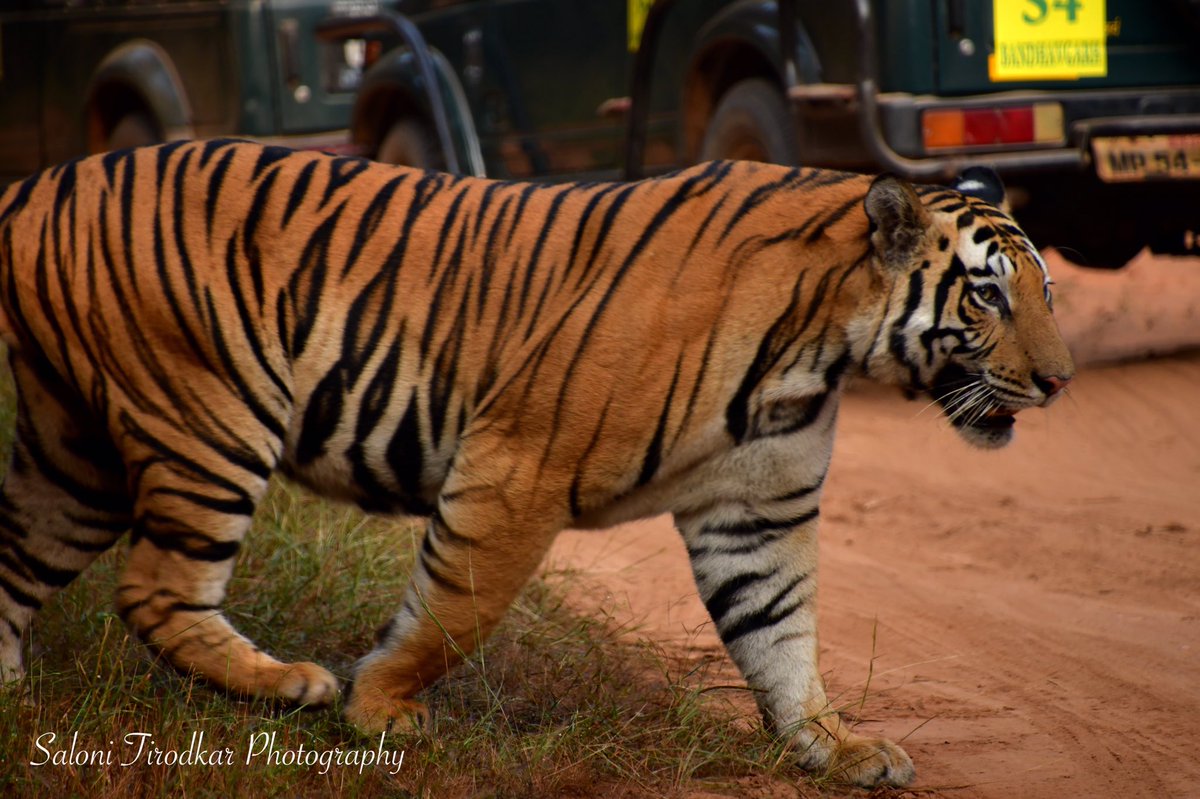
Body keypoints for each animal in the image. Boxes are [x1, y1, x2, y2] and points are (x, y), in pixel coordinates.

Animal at [0, 140, 1073, 787]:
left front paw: (833, 744)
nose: (1060, 381)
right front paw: (378, 711)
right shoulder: (517, 466)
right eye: (986, 294)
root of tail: (43, 180)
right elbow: (455, 607)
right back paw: (288, 684)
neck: (822, 347)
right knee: (153, 588)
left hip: (76, 455)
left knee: (23, 561)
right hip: (208, 416)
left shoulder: (757, 509)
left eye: (1047, 290)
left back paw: (10, 697)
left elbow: (781, 632)